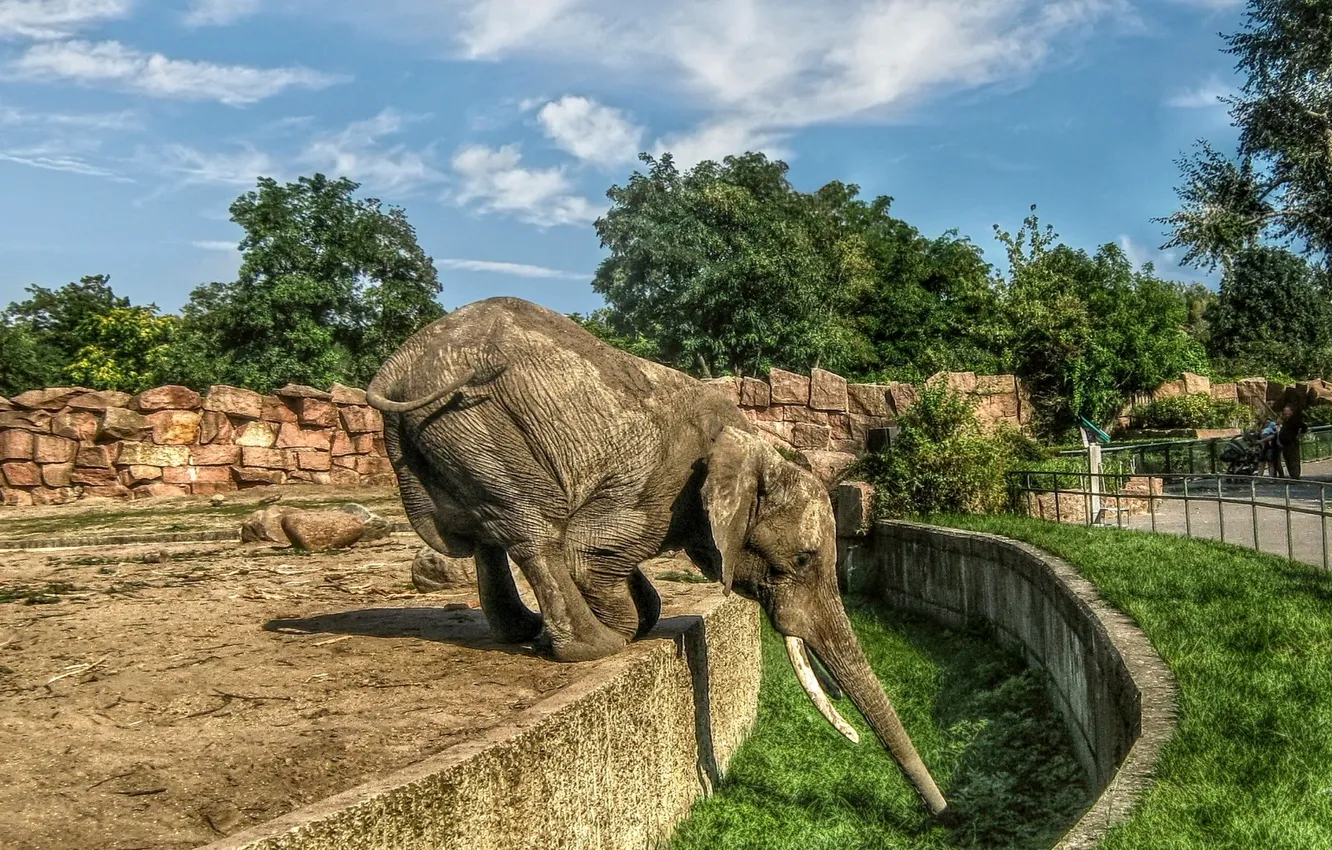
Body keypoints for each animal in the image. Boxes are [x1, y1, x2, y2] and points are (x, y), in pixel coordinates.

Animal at [365, 296, 948, 816]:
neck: (750, 444)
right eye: (804, 560)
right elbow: (587, 550)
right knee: (533, 527)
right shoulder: (662, 486)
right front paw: (623, 624)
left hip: (447, 437)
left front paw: (637, 612)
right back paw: (592, 644)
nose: (940, 814)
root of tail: (394, 371)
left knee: (483, 529)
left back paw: (526, 632)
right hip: (477, 423)